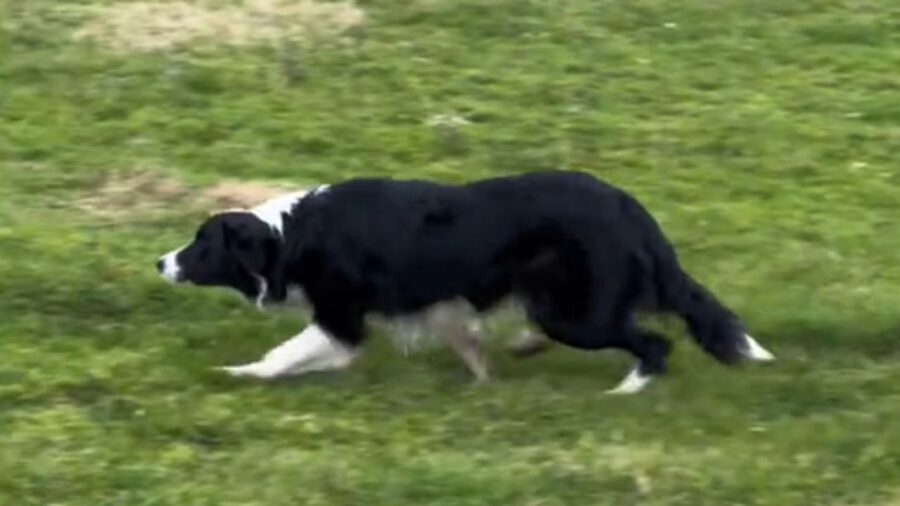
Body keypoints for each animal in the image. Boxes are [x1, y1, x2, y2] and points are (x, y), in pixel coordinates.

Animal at [156, 170, 772, 392]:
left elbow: (281, 354)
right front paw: (481, 377)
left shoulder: (339, 316)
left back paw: (624, 392)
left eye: (202, 245)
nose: (161, 262)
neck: (288, 236)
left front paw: (237, 374)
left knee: (655, 344)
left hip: (573, 313)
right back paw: (528, 347)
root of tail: (630, 209)